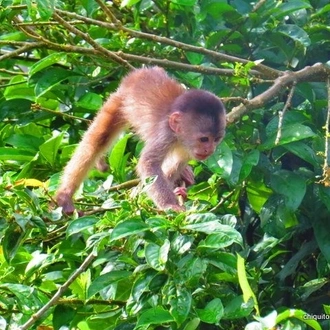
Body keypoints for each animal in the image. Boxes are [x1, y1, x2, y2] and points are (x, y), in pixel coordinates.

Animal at [55, 66, 226, 214]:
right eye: (204, 139)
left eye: (216, 139)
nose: (210, 150)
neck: (179, 138)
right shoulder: (165, 134)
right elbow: (148, 164)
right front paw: (170, 205)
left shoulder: (187, 148)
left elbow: (176, 163)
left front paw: (178, 191)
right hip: (119, 99)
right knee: (95, 142)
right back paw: (65, 196)